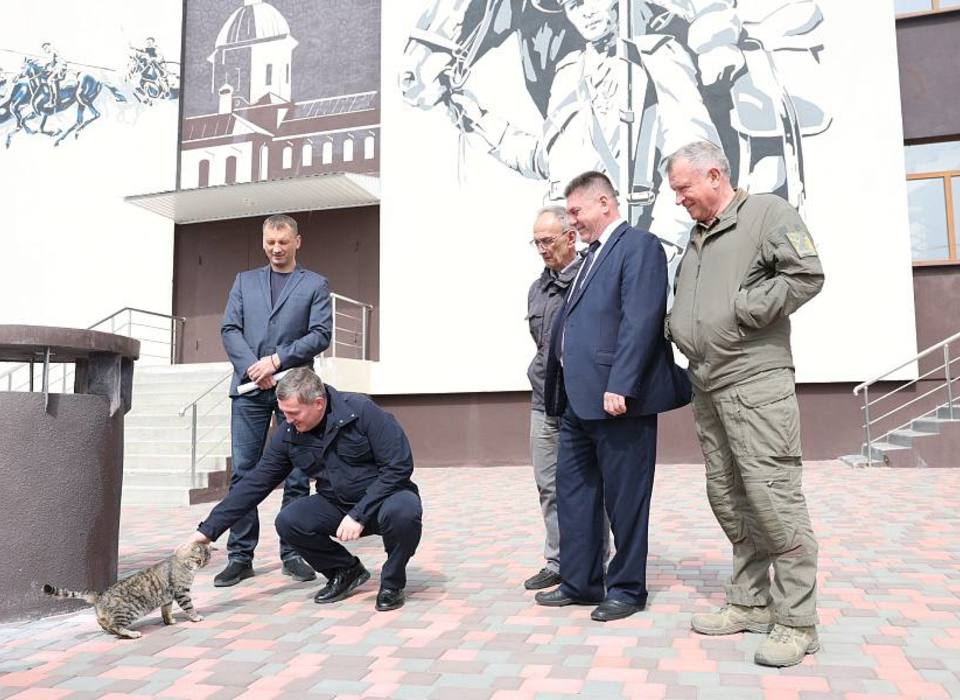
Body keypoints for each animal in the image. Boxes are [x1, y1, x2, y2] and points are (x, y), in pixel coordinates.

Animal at [42, 540, 212, 640]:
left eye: (207, 560)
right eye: (198, 560)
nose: (202, 565)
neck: (183, 564)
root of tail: (100, 596)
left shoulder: (168, 598)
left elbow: (166, 611)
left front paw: (169, 621)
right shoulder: (182, 592)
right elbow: (189, 608)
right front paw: (196, 617)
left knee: (103, 621)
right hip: (128, 612)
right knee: (115, 626)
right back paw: (132, 634)